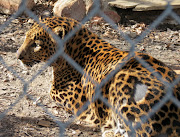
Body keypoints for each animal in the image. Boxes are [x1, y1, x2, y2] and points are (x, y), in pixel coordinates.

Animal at [17, 16, 180, 136]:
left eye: (36, 44)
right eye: (25, 36)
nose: (18, 56)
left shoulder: (68, 94)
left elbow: (50, 91)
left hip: (123, 79)